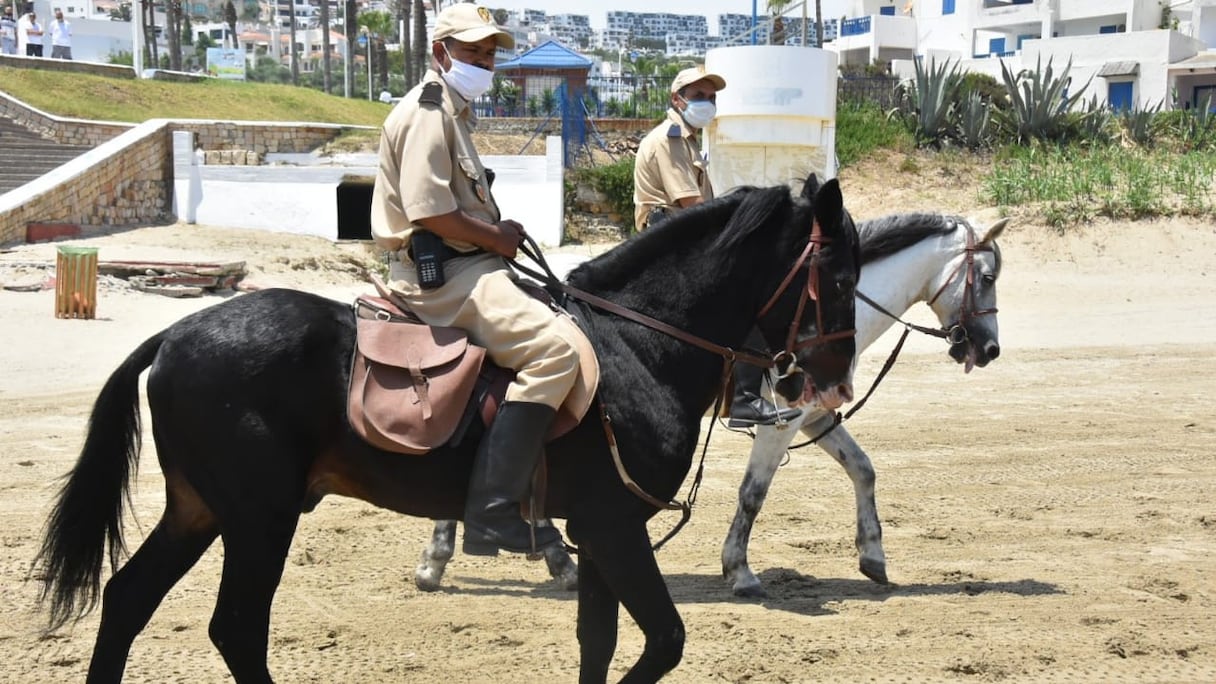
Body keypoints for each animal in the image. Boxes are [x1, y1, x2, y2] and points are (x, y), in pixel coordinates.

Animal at [33, 174, 860, 676]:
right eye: (840, 273)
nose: (834, 380)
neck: (638, 344)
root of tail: (174, 334)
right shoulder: (614, 526)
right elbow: (664, 640)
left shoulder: (600, 530)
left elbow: (601, 642)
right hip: (259, 518)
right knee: (234, 628)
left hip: (200, 509)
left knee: (128, 599)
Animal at [415, 211, 1006, 591]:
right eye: (987, 276)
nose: (990, 348)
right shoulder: (780, 423)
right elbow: (753, 494)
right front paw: (738, 570)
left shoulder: (813, 416)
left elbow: (863, 469)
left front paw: (873, 556)